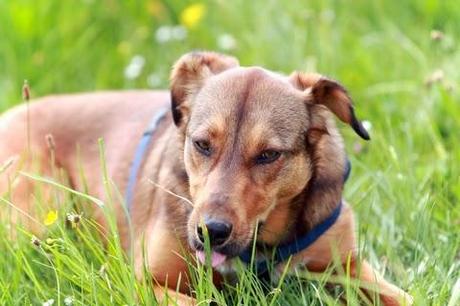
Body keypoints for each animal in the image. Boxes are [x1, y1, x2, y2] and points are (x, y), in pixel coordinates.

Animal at [0, 51, 414, 304]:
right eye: (201, 144)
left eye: (268, 155)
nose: (210, 232)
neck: (258, 248)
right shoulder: (146, 283)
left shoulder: (348, 267)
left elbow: (406, 296)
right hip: (42, 209)